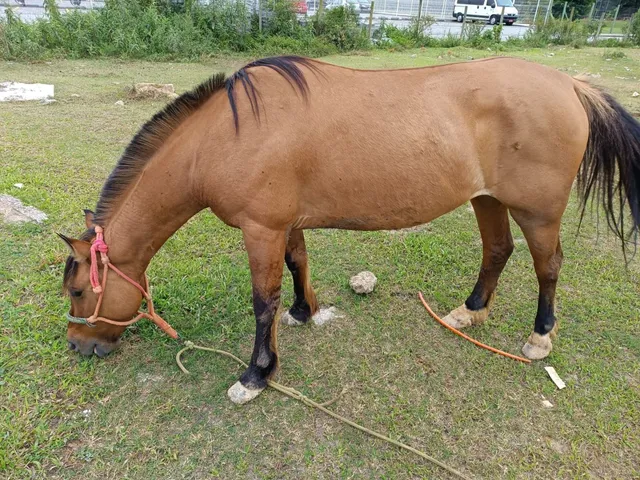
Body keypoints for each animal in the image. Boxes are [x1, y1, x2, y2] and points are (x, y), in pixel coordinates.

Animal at [59, 56, 640, 404]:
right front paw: (304, 311)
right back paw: (468, 312)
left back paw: (540, 337)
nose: (78, 346)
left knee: (548, 265)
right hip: (487, 199)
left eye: (80, 290)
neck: (226, 135)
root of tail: (569, 83)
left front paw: (256, 375)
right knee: (498, 250)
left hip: (537, 209)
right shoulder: (282, 224)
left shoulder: (260, 228)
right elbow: (297, 266)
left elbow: (261, 300)